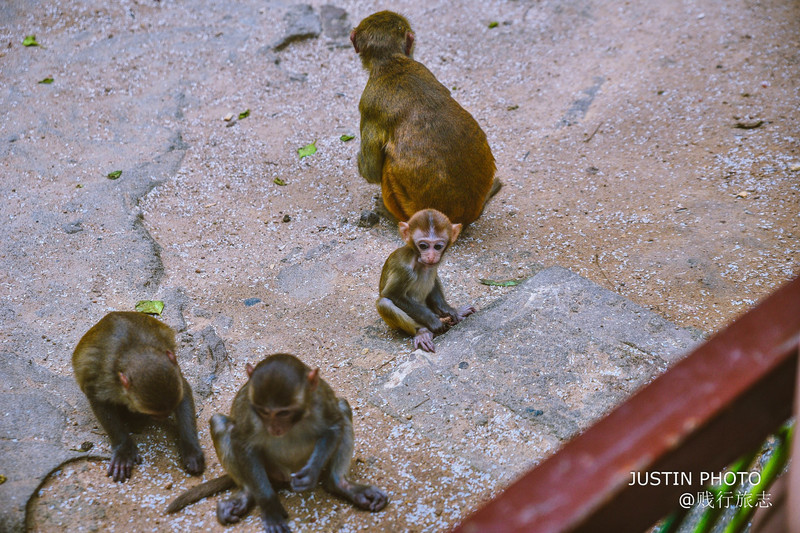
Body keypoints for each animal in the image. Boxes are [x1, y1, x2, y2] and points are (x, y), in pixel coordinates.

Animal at [72, 312, 205, 482]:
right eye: (157, 414)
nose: (165, 416)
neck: (133, 349)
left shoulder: (175, 372)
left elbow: (184, 394)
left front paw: (191, 449)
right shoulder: (105, 380)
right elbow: (99, 401)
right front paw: (123, 449)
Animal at [166, 354, 388, 532]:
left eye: (283, 412)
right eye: (263, 412)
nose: (275, 428)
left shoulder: (320, 401)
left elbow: (334, 425)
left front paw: (311, 474)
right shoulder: (251, 415)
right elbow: (242, 443)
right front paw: (270, 507)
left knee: (342, 408)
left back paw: (340, 485)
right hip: (270, 470)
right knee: (220, 424)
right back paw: (247, 494)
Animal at [352, 9, 500, 224]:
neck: (391, 62)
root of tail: (462, 217)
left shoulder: (368, 103)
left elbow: (371, 171)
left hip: (406, 206)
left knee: (387, 169)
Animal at [376, 208, 476, 354]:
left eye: (438, 246)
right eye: (423, 246)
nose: (431, 256)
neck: (418, 260)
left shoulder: (433, 265)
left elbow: (434, 281)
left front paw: (450, 310)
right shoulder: (404, 270)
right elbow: (392, 294)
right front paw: (433, 321)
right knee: (384, 303)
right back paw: (422, 331)